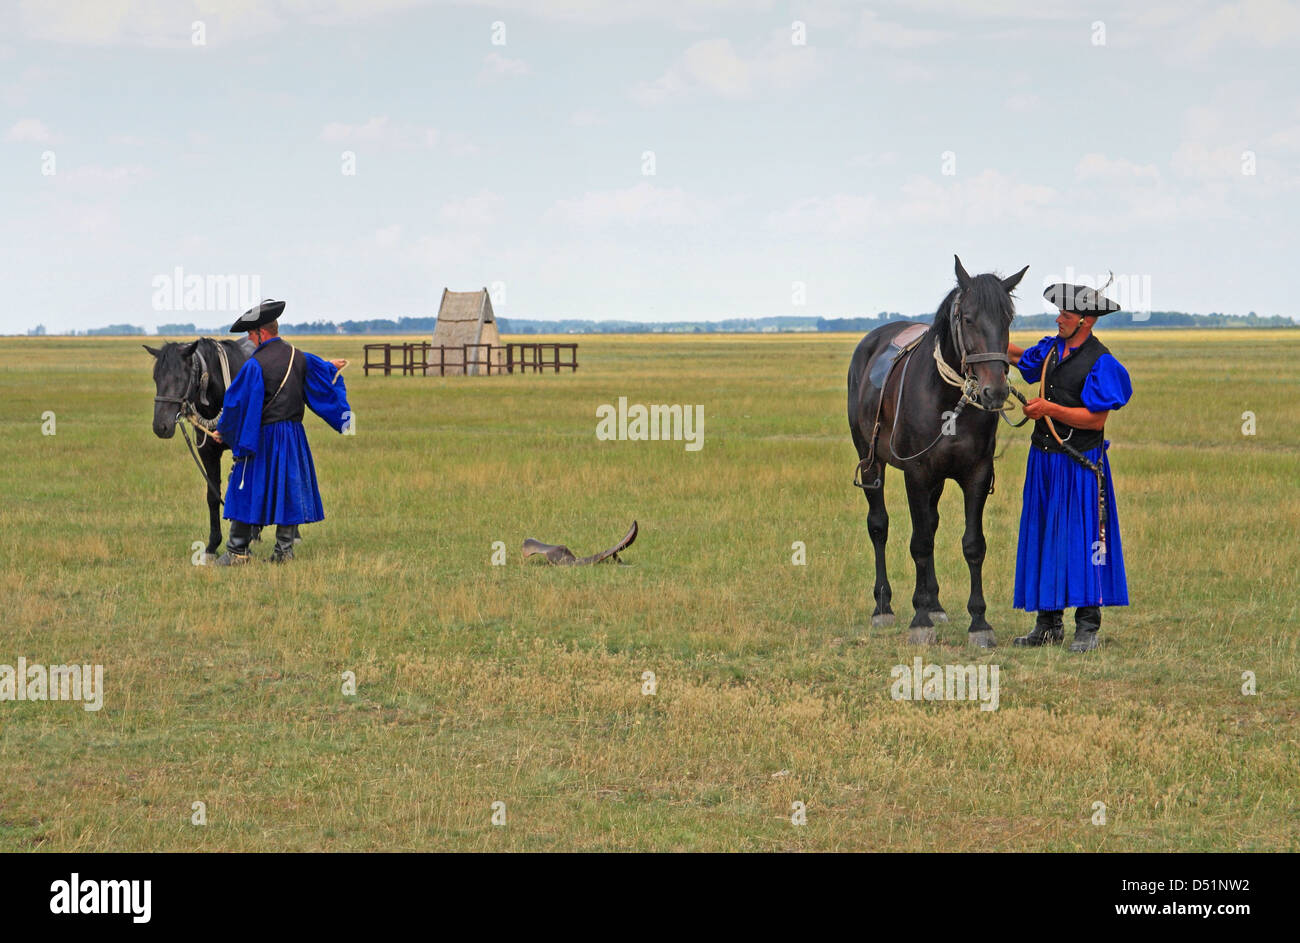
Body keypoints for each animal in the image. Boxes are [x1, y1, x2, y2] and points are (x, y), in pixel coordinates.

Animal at [145, 338, 295, 559]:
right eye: (156, 377)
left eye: (180, 377)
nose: (160, 426)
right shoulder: (208, 453)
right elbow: (213, 495)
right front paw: (212, 545)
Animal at [847, 257, 1029, 647]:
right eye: (968, 318)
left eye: (1007, 319)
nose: (994, 391)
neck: (948, 401)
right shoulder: (917, 474)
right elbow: (919, 543)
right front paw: (919, 621)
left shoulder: (976, 474)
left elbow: (972, 544)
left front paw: (978, 622)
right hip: (871, 462)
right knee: (879, 526)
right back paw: (883, 606)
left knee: (931, 522)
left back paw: (934, 603)